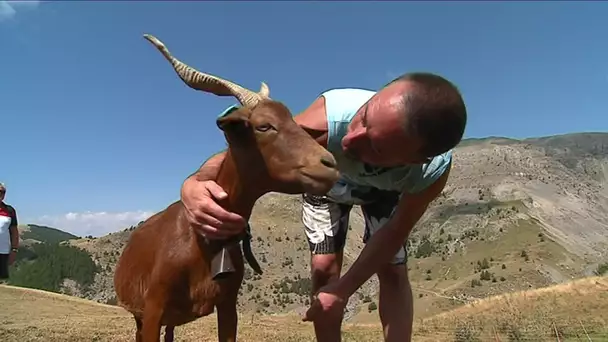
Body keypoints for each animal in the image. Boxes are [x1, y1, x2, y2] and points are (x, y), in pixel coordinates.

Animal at [113, 34, 342, 342]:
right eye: (264, 126)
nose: (329, 163)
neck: (201, 242)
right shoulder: (152, 310)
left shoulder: (227, 304)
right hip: (140, 314)